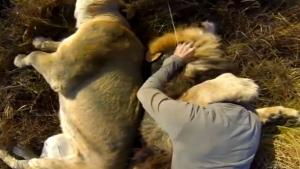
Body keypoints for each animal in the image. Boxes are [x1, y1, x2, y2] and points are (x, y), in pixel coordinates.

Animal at [0, 0, 144, 169]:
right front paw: (39, 41)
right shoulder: (64, 49)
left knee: (24, 164)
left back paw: (6, 151)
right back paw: (20, 148)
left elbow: (34, 55)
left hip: (53, 162)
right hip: (54, 141)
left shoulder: (59, 69)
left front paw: (20, 59)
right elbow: (57, 43)